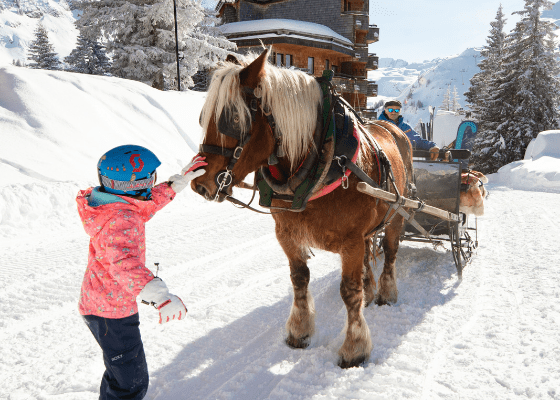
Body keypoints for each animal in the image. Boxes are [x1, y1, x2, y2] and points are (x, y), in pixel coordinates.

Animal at [192, 48, 416, 368]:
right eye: (203, 117)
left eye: (233, 118)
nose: (200, 184)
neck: (326, 158)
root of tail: (393, 127)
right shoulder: (286, 233)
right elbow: (299, 279)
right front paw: (299, 331)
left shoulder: (350, 241)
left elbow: (349, 292)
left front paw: (355, 347)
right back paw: (371, 288)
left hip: (398, 212)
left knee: (391, 252)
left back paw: (386, 292)